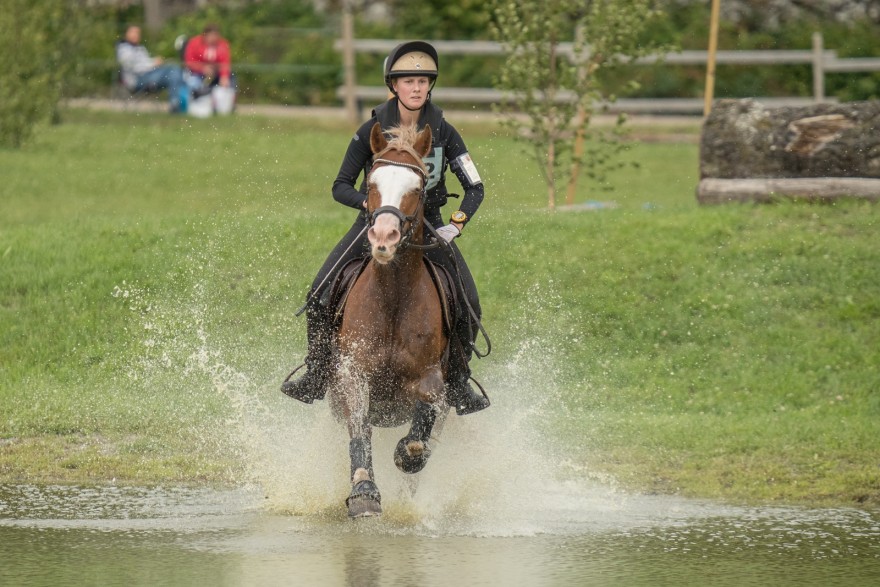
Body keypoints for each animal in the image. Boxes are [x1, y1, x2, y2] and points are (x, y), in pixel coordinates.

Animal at [330, 121, 454, 516]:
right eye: (371, 183)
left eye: (416, 188)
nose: (384, 237)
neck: (393, 299)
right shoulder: (353, 373)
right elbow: (360, 429)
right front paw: (363, 492)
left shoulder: (433, 378)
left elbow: (423, 421)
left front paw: (408, 453)